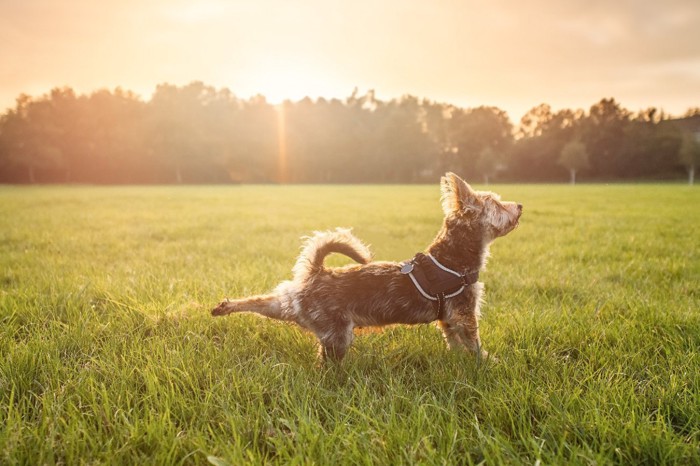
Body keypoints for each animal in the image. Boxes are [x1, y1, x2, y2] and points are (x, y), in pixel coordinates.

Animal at [211, 173, 524, 362]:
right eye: (497, 204)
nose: (519, 205)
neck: (450, 258)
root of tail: (316, 272)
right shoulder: (464, 314)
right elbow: (474, 343)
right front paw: (487, 362)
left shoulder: (448, 319)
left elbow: (456, 343)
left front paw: (461, 361)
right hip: (337, 334)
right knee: (327, 364)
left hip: (289, 304)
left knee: (263, 302)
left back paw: (225, 306)